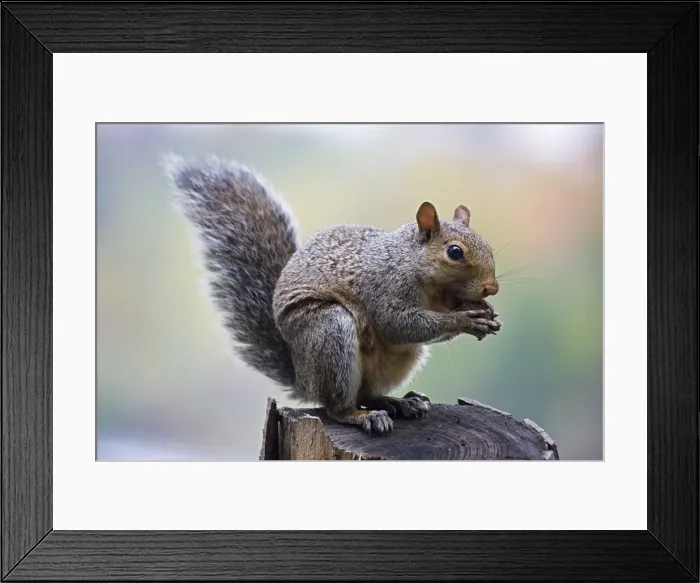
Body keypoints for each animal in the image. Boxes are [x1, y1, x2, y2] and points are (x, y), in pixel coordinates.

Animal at [165, 154, 502, 436]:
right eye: (455, 252)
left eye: (488, 245)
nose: (491, 287)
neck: (420, 272)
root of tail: (303, 379)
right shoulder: (384, 286)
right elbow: (398, 324)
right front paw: (466, 320)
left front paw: (485, 312)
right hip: (329, 332)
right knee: (336, 406)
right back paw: (361, 415)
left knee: (368, 394)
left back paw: (400, 402)